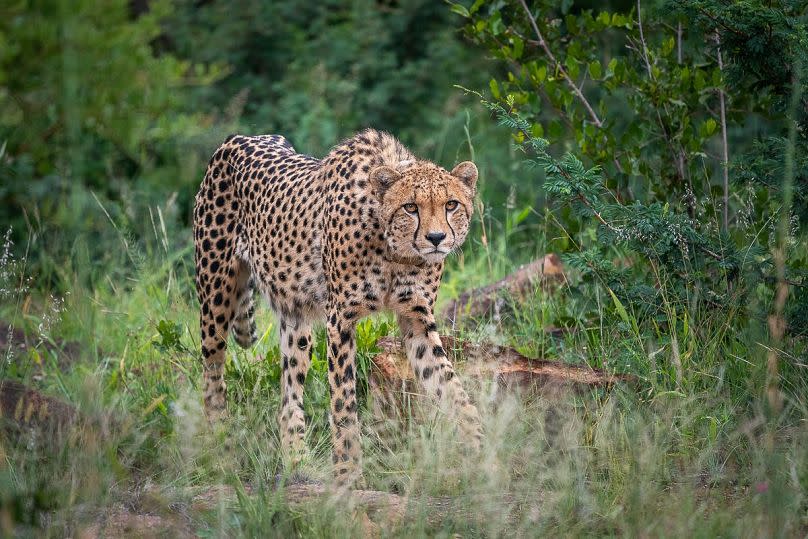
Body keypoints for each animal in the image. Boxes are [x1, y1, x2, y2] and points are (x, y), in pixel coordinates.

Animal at [194, 129, 486, 488]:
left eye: (451, 204)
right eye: (410, 207)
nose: (436, 238)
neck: (393, 250)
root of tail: (241, 137)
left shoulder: (417, 320)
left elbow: (451, 386)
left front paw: (486, 454)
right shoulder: (340, 320)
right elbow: (344, 402)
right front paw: (347, 474)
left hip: (297, 320)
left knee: (289, 398)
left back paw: (297, 462)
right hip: (215, 297)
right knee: (212, 377)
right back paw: (221, 451)